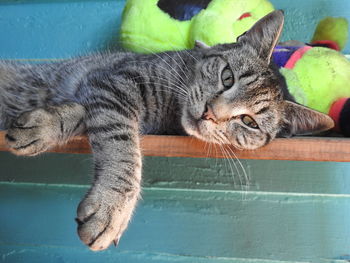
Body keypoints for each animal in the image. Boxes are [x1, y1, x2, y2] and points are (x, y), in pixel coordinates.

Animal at [0, 11, 334, 252]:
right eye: (227, 77)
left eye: (249, 122)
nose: (210, 113)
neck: (172, 110)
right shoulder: (111, 80)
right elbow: (122, 144)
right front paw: (112, 208)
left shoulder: (105, 94)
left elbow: (88, 117)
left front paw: (44, 125)